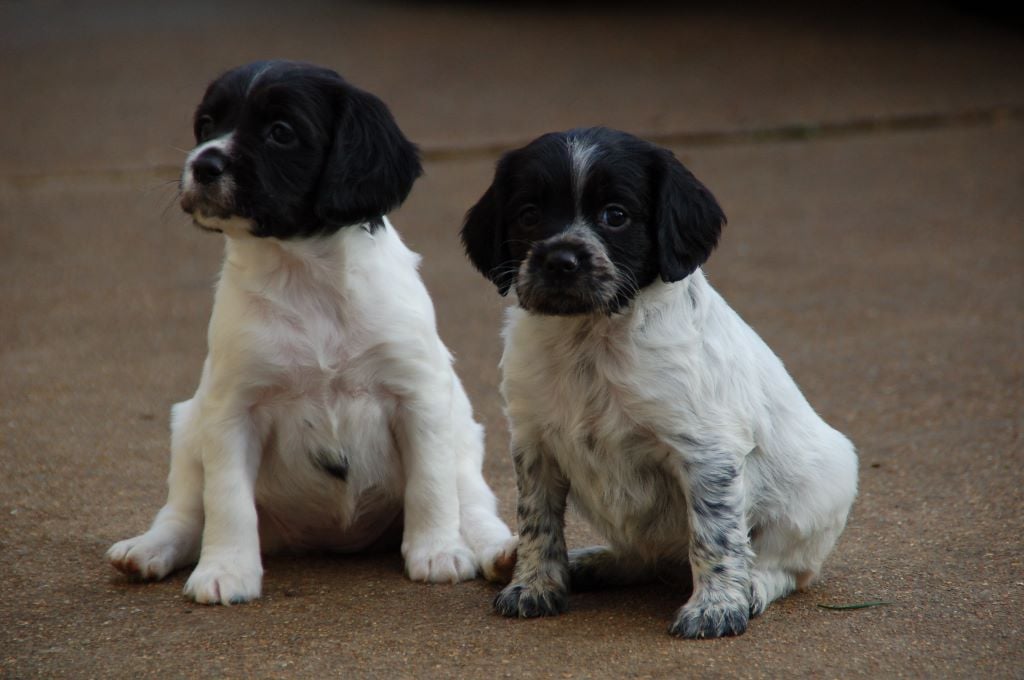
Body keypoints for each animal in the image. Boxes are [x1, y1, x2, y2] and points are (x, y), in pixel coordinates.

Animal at [108, 62, 516, 606]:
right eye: (206, 124)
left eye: (281, 132)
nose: (202, 165)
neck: (305, 277)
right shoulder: (231, 410)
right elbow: (227, 501)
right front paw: (226, 570)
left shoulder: (419, 396)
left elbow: (430, 484)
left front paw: (438, 552)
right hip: (189, 427)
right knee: (186, 514)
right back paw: (149, 549)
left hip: (465, 443)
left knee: (473, 507)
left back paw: (502, 553)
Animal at [462, 125, 856, 639]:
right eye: (528, 215)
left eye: (616, 215)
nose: (560, 260)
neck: (591, 337)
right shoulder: (533, 442)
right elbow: (537, 521)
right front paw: (534, 586)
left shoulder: (706, 451)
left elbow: (715, 535)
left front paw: (715, 608)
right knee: (641, 558)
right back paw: (590, 563)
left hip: (822, 490)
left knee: (788, 567)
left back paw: (753, 586)